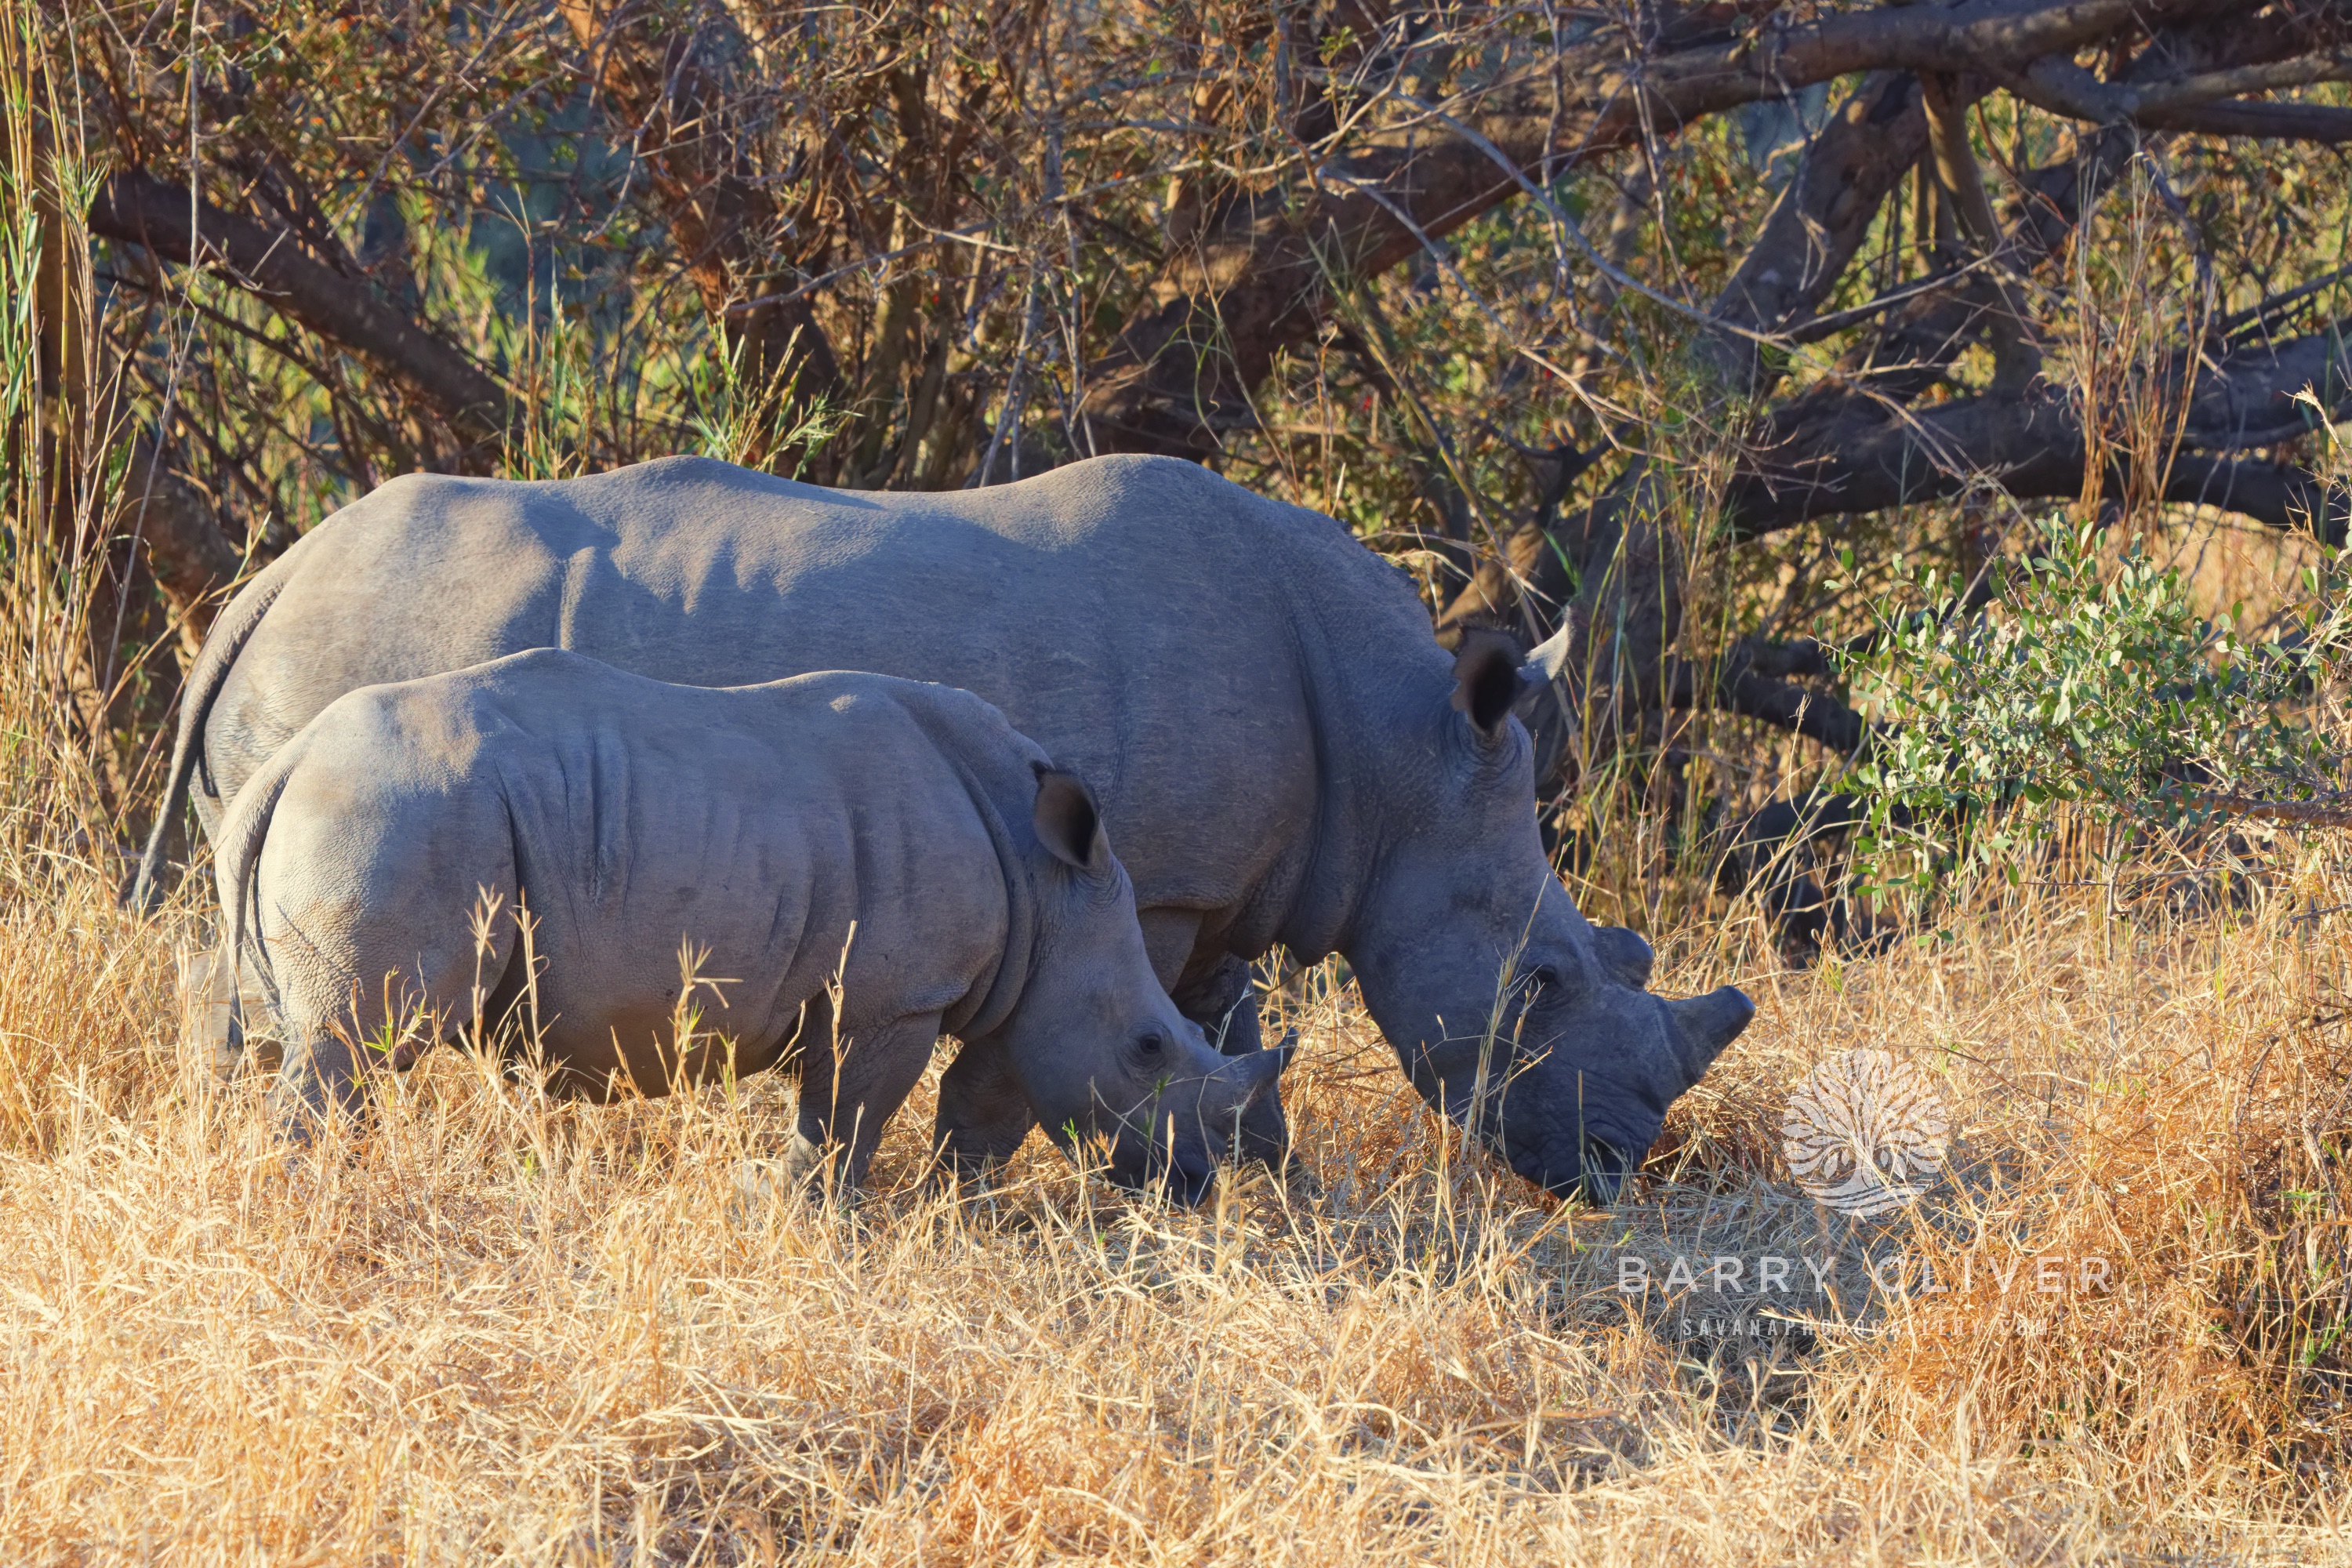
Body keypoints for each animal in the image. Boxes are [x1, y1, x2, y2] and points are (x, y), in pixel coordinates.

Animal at [212, 649, 1285, 1195]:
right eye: (1149, 1046)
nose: (1196, 1181)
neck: (1050, 882)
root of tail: (286, 762)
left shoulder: (998, 986)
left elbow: (981, 1104)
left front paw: (949, 1207)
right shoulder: (890, 998)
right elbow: (847, 1120)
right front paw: (813, 1217)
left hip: (348, 814)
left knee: (275, 1032)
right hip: (393, 812)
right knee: (353, 1045)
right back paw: (321, 1202)